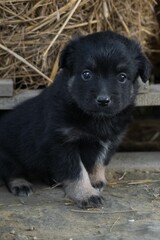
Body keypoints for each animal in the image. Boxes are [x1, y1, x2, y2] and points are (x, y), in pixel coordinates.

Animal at [0, 31, 151, 208]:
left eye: (122, 77)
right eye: (86, 74)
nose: (103, 100)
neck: (95, 119)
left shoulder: (108, 141)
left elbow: (98, 162)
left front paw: (95, 181)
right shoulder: (62, 143)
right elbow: (77, 172)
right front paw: (86, 194)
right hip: (8, 155)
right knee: (11, 171)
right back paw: (21, 184)